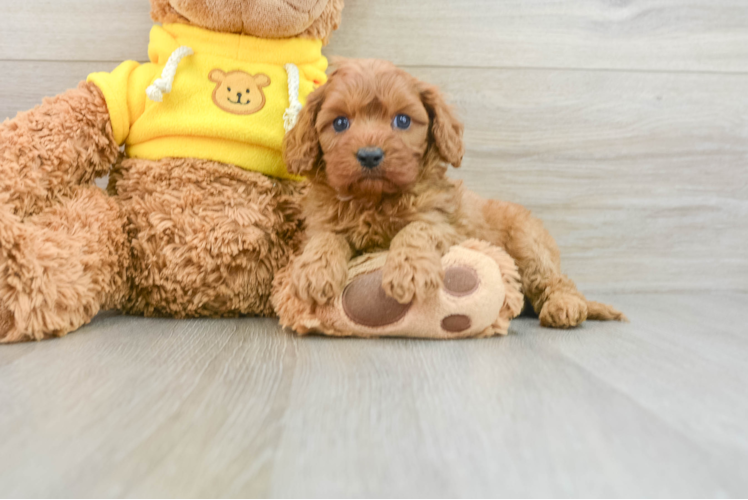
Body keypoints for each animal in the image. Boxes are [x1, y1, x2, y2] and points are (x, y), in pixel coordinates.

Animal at [284, 59, 624, 328]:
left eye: (402, 120)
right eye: (340, 123)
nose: (369, 155)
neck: (374, 199)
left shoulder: (446, 226)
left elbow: (416, 229)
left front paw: (409, 271)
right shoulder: (322, 223)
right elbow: (324, 240)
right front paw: (314, 272)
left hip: (529, 245)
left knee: (555, 280)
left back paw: (564, 306)